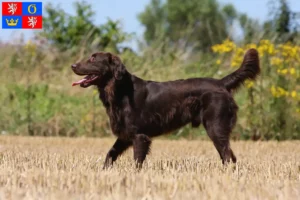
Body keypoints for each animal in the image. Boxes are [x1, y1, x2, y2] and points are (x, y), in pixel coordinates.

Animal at [71, 48, 258, 169]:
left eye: (93, 59)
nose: (73, 65)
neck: (120, 90)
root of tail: (221, 83)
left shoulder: (140, 136)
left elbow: (137, 161)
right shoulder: (125, 135)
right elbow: (110, 153)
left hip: (216, 127)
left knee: (227, 155)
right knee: (229, 156)